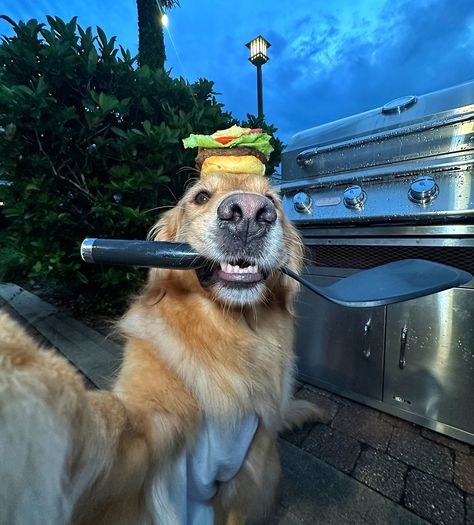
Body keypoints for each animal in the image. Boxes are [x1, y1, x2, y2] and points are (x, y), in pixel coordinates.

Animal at [0, 172, 318, 524]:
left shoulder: (245, 477)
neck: (225, 333)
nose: (249, 212)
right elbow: (109, 418)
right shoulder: (150, 429)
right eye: (201, 196)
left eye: (272, 201)